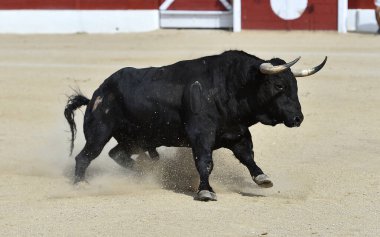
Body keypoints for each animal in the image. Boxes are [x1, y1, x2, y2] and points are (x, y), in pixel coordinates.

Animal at [63, 51, 326, 201]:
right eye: (279, 86)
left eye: (295, 86)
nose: (298, 118)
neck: (230, 86)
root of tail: (97, 93)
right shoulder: (201, 135)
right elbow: (205, 162)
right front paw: (205, 191)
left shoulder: (237, 133)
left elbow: (248, 156)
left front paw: (263, 178)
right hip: (99, 132)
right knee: (85, 157)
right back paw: (80, 184)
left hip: (136, 140)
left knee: (117, 154)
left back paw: (143, 173)